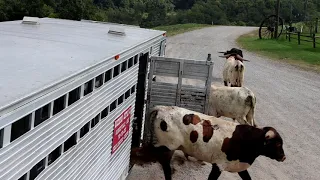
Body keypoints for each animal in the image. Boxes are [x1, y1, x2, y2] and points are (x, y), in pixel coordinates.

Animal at [131, 105, 286, 180]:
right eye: (278, 144)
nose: (283, 157)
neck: (247, 139)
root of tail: (162, 108)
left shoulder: (240, 166)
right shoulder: (219, 165)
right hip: (167, 147)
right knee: (162, 164)